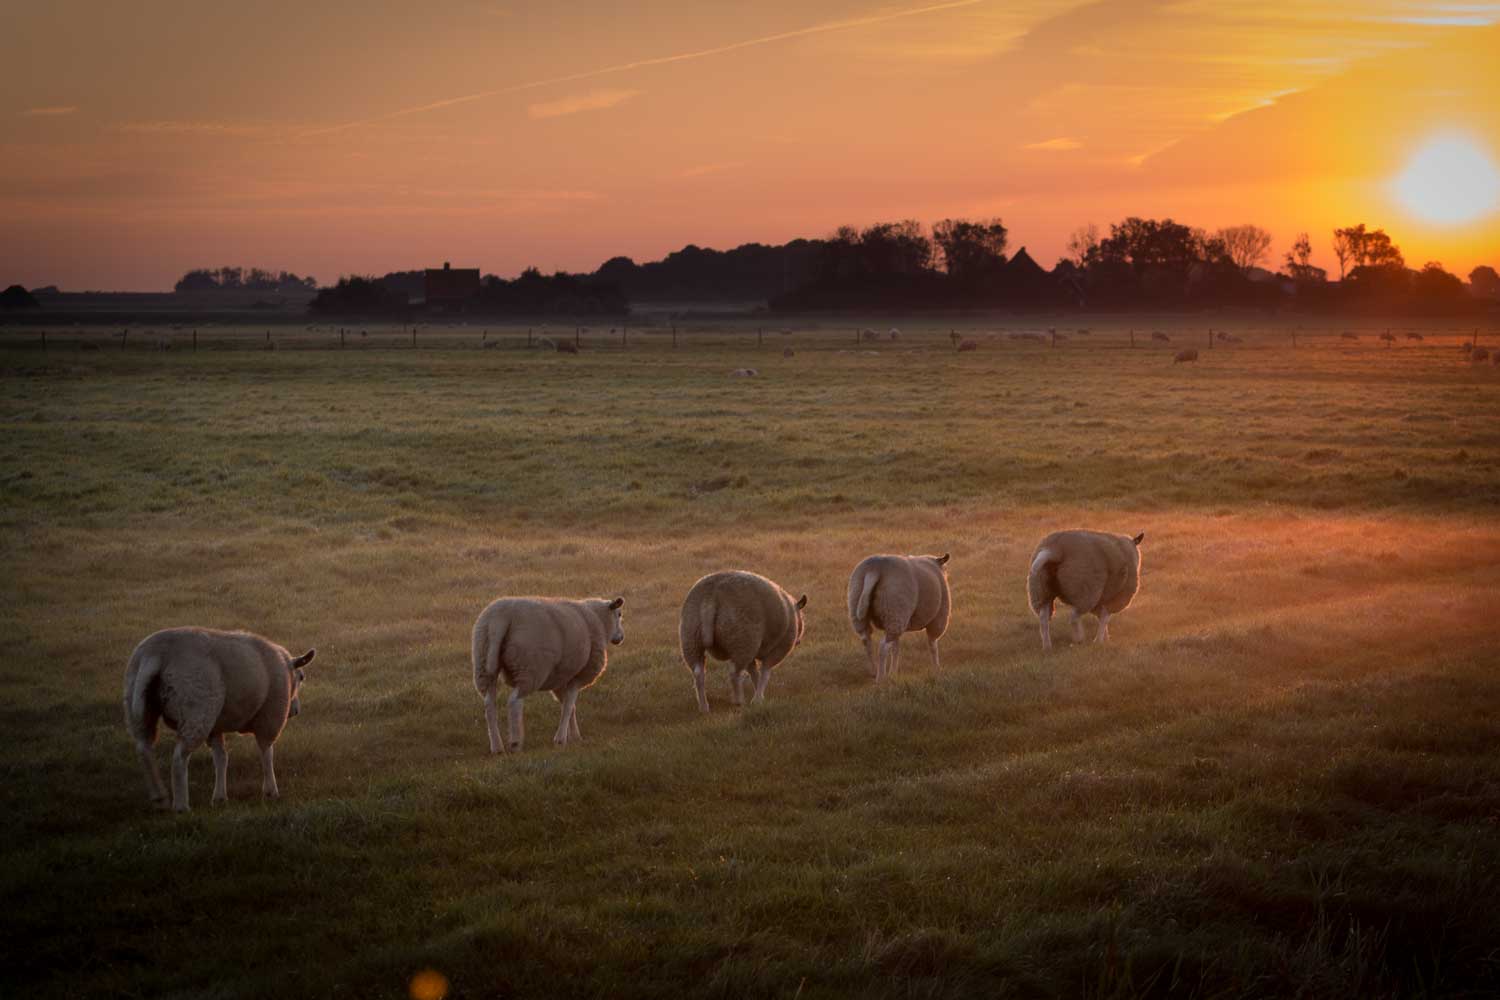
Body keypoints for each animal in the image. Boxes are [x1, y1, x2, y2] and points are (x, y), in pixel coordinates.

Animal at [123, 627, 315, 812]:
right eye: (301, 677)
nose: (295, 710)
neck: (286, 671)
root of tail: (156, 653)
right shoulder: (270, 716)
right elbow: (266, 752)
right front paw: (271, 791)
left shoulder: (215, 727)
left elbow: (221, 758)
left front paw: (220, 797)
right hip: (197, 710)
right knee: (179, 757)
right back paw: (181, 805)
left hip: (140, 709)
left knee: (144, 750)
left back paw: (159, 798)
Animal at [471, 596, 624, 753]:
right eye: (619, 614)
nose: (621, 637)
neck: (599, 620)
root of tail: (501, 617)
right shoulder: (577, 676)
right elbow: (568, 706)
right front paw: (561, 739)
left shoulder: (561, 677)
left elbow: (569, 707)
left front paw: (574, 737)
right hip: (530, 668)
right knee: (515, 701)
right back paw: (515, 743)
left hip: (483, 660)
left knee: (489, 704)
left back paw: (497, 747)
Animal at [679, 571, 806, 712]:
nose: (799, 642)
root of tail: (712, 594)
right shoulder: (777, 650)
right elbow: (765, 673)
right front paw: (757, 699)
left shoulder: (752, 653)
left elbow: (754, 673)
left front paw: (760, 695)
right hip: (743, 640)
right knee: (734, 672)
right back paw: (738, 701)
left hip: (691, 636)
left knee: (698, 673)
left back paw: (704, 707)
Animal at [847, 553, 951, 682]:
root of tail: (875, 567)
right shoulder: (938, 618)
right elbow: (933, 645)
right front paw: (937, 669)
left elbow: (896, 648)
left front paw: (893, 673)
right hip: (895, 611)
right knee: (883, 646)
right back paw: (880, 678)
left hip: (867, 611)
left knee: (867, 641)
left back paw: (874, 671)